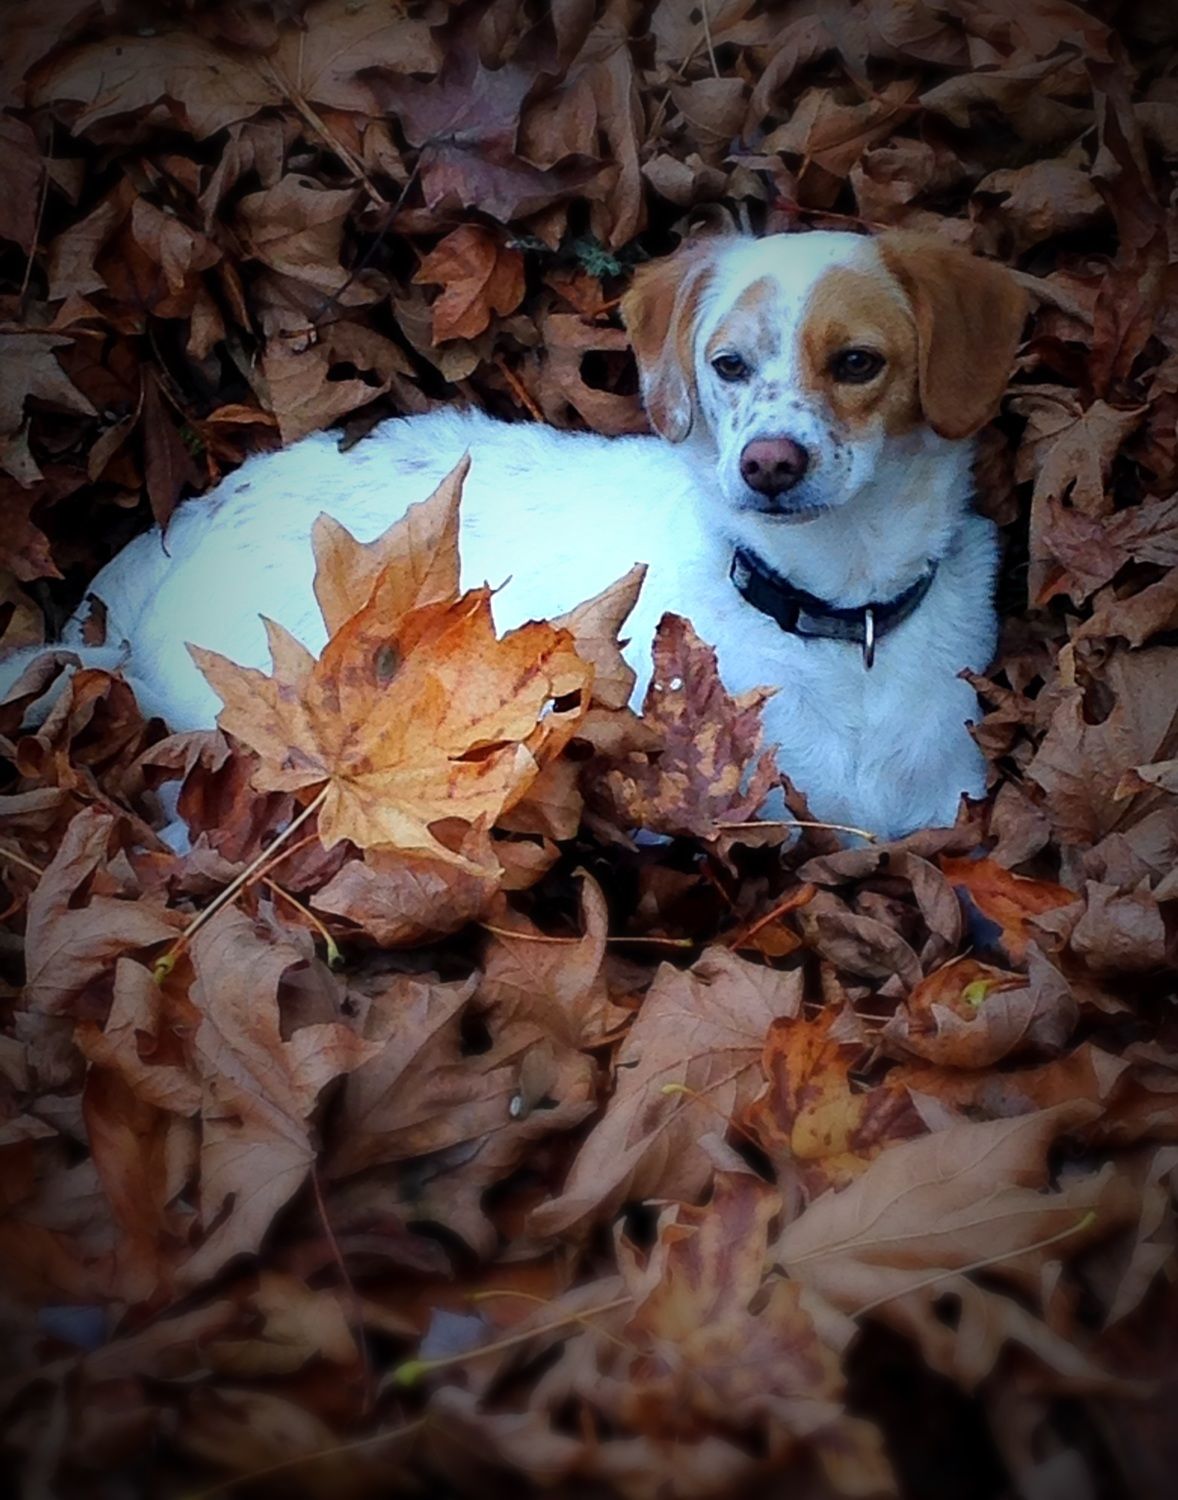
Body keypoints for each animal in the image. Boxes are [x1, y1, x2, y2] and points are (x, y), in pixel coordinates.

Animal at [1, 229, 1027, 840]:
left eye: (857, 362)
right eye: (728, 365)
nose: (768, 463)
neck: (837, 614)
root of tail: (194, 516)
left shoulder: (945, 800)